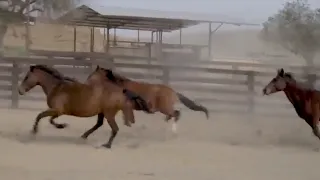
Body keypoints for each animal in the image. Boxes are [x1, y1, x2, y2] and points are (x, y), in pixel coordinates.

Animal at [18, 64, 150, 148]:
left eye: (26, 77)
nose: (20, 91)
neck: (57, 87)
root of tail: (122, 92)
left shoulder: (57, 110)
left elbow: (41, 116)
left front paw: (34, 132)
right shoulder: (58, 112)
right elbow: (50, 119)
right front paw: (61, 125)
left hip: (109, 113)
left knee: (115, 129)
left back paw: (106, 145)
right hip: (102, 113)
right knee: (99, 124)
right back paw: (83, 137)